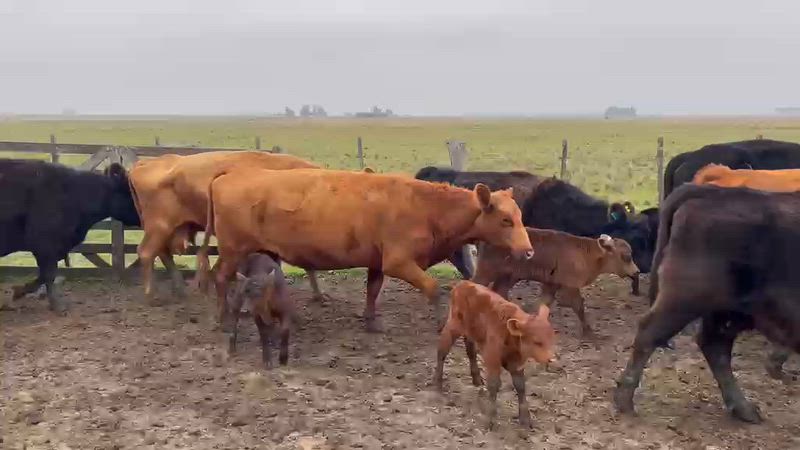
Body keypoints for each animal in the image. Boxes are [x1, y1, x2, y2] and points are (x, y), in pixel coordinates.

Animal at [127, 151, 329, 306]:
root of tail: (147, 162)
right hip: (159, 227)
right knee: (147, 253)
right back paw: (151, 295)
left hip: (168, 229)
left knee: (162, 253)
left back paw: (180, 291)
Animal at [196, 168, 534, 333]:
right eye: (505, 220)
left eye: (519, 216)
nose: (529, 251)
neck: (426, 207)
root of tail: (227, 175)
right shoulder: (399, 262)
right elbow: (432, 287)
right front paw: (441, 322)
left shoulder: (378, 262)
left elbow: (373, 289)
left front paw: (371, 322)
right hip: (233, 249)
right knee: (220, 277)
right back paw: (220, 318)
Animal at [434, 280, 556, 430]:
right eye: (537, 341)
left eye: (552, 337)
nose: (551, 359)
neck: (509, 333)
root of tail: (463, 284)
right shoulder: (492, 357)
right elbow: (494, 384)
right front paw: (490, 419)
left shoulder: (516, 362)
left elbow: (520, 385)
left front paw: (525, 419)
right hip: (453, 326)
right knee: (442, 351)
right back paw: (438, 383)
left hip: (471, 333)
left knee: (470, 350)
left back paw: (476, 379)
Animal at [472, 229, 639, 341]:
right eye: (626, 256)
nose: (636, 271)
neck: (589, 254)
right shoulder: (570, 286)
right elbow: (578, 306)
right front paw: (589, 332)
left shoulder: (552, 284)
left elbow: (544, 303)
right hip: (486, 273)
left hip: (507, 277)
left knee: (499, 292)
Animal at [614, 183, 800, 423]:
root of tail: (713, 191)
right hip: (686, 301)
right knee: (650, 333)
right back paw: (624, 400)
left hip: (727, 312)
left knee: (714, 346)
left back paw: (744, 408)